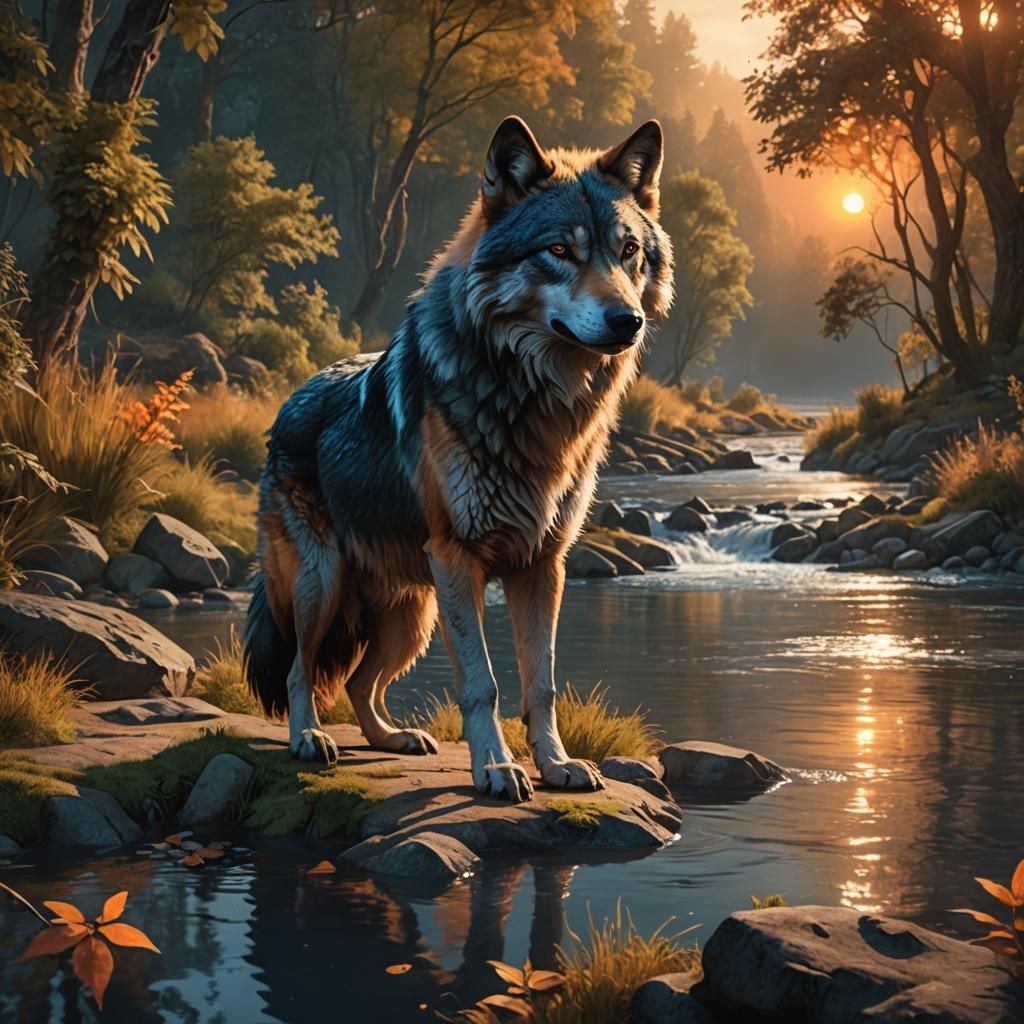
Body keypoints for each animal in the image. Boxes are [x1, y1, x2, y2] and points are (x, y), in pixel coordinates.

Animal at [244, 115, 674, 802]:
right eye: (560, 251)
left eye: (628, 251)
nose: (626, 320)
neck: (532, 400)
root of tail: (290, 400)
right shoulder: (458, 561)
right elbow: (483, 684)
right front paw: (496, 768)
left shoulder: (542, 565)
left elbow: (541, 683)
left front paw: (556, 765)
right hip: (323, 585)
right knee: (298, 670)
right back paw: (309, 738)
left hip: (412, 617)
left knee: (361, 682)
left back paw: (393, 739)